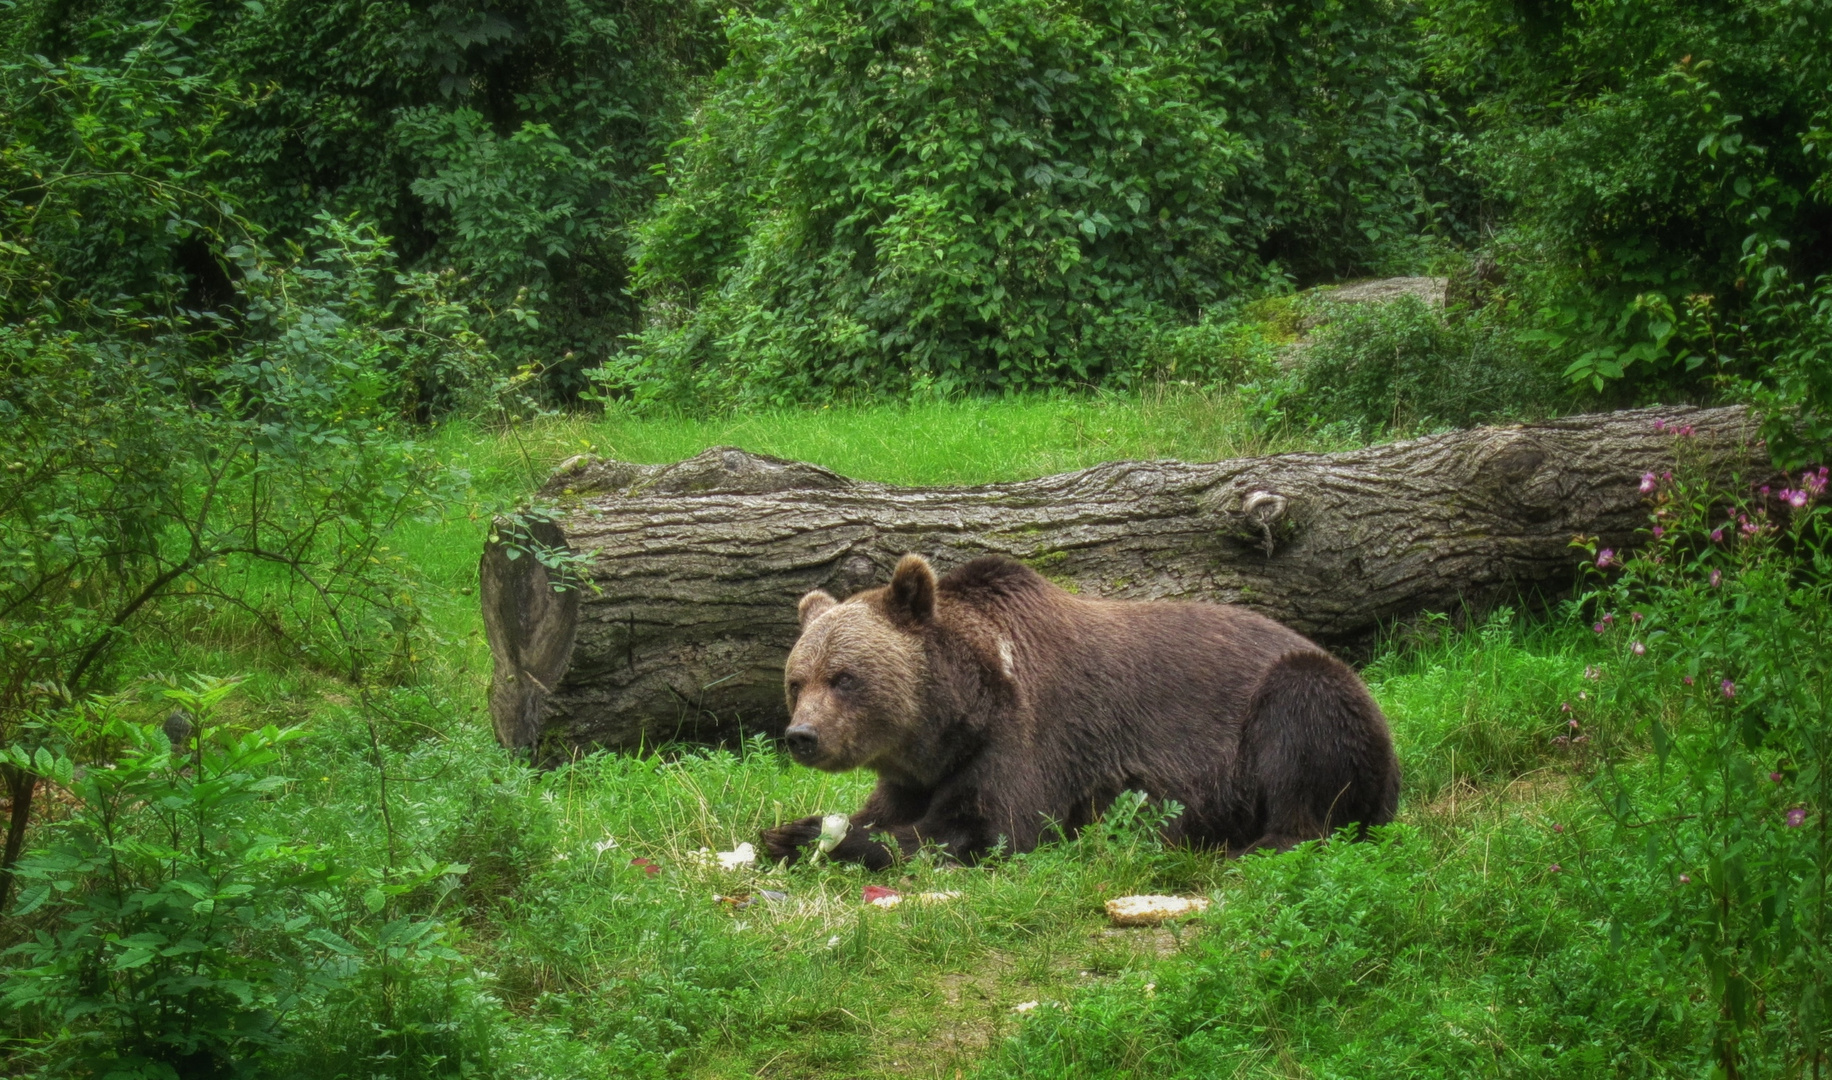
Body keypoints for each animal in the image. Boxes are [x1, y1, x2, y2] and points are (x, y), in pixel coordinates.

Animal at [762, 552, 1399, 874]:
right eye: (797, 681)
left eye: (844, 678)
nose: (803, 736)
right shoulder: (918, 771)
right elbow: (889, 808)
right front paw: (786, 830)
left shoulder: (1027, 738)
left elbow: (990, 828)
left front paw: (818, 836)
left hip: (1298, 701)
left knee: (1304, 736)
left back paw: (1247, 847)